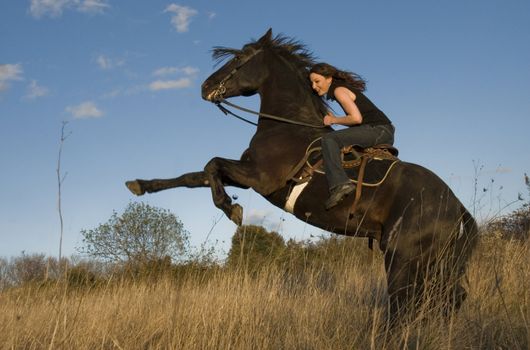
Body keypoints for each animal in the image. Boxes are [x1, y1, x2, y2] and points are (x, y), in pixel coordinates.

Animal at [126, 29, 476, 320]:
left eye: (239, 58)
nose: (206, 87)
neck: (286, 124)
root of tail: (456, 204)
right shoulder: (246, 175)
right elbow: (193, 176)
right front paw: (140, 185)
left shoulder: (259, 178)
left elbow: (212, 165)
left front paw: (231, 208)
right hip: (434, 261)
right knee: (446, 299)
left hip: (403, 257)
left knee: (406, 303)